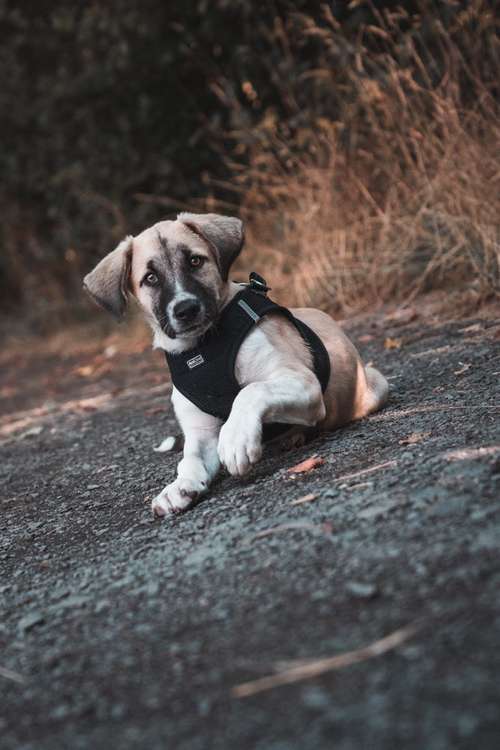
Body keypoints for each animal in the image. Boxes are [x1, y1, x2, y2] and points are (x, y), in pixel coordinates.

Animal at [84, 212, 388, 516]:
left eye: (195, 261)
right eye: (150, 278)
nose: (186, 309)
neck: (203, 347)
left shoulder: (303, 381)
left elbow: (251, 391)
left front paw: (235, 438)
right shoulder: (201, 432)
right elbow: (190, 459)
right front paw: (181, 486)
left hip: (375, 384)